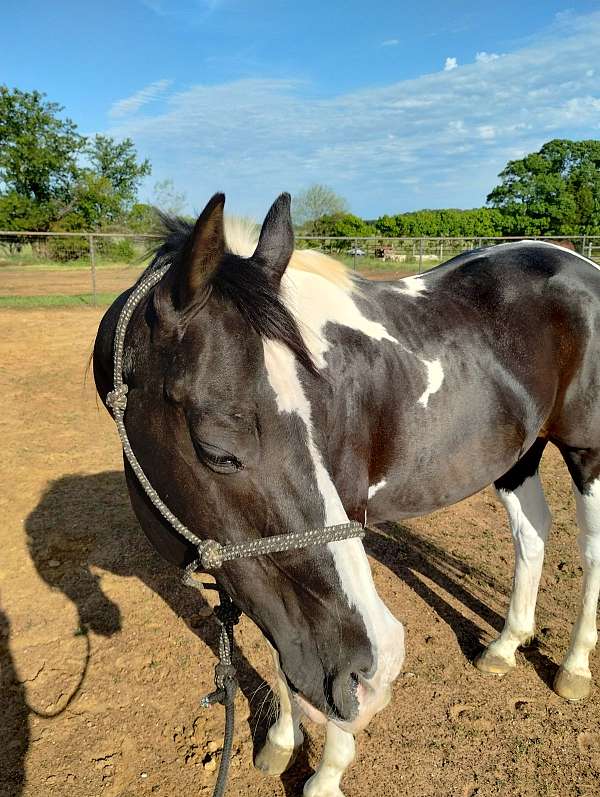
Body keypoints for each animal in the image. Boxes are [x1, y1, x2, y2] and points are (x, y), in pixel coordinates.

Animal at [94, 194, 600, 796]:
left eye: (321, 413)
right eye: (216, 450)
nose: (379, 667)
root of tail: (576, 264)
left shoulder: (343, 517)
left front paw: (326, 773)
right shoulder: (259, 570)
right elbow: (281, 646)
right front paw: (281, 741)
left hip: (587, 452)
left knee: (591, 551)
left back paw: (573, 667)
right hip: (519, 455)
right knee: (532, 533)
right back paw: (505, 645)